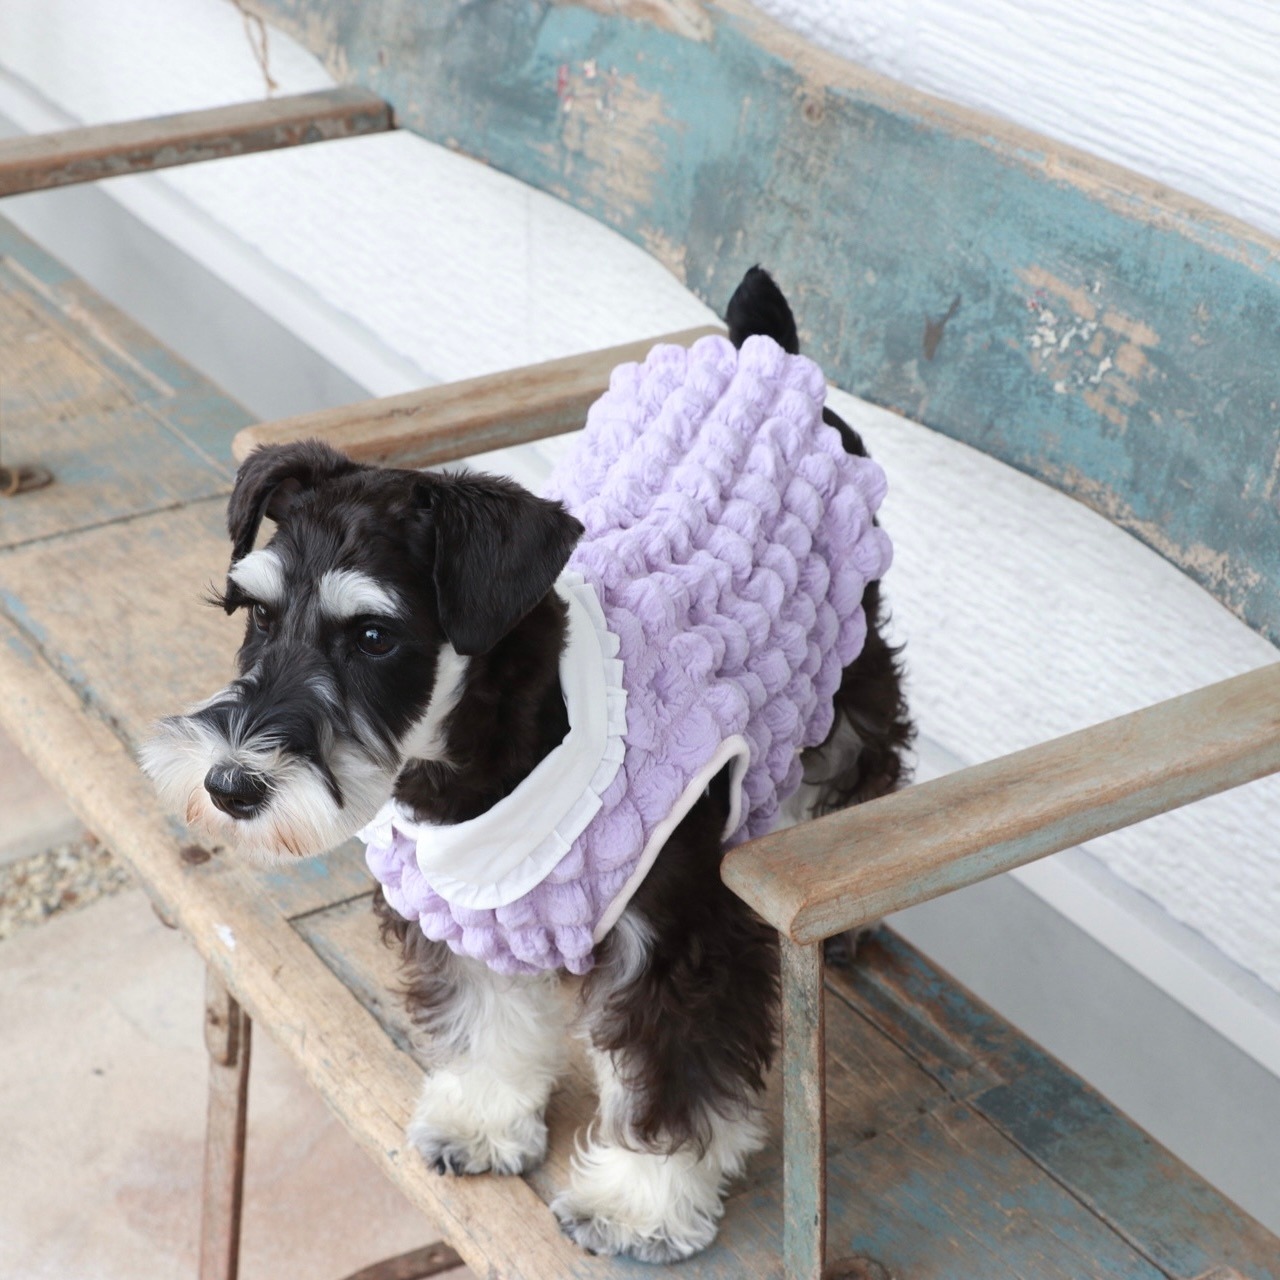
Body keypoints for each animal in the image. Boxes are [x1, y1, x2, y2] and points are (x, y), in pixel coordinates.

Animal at [143, 267, 910, 1263]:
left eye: (375, 636)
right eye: (257, 613)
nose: (229, 786)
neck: (477, 768)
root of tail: (757, 351)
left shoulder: (677, 941)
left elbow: (667, 1076)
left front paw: (639, 1203)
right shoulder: (473, 915)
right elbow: (487, 1019)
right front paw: (482, 1122)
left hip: (848, 664)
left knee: (864, 756)